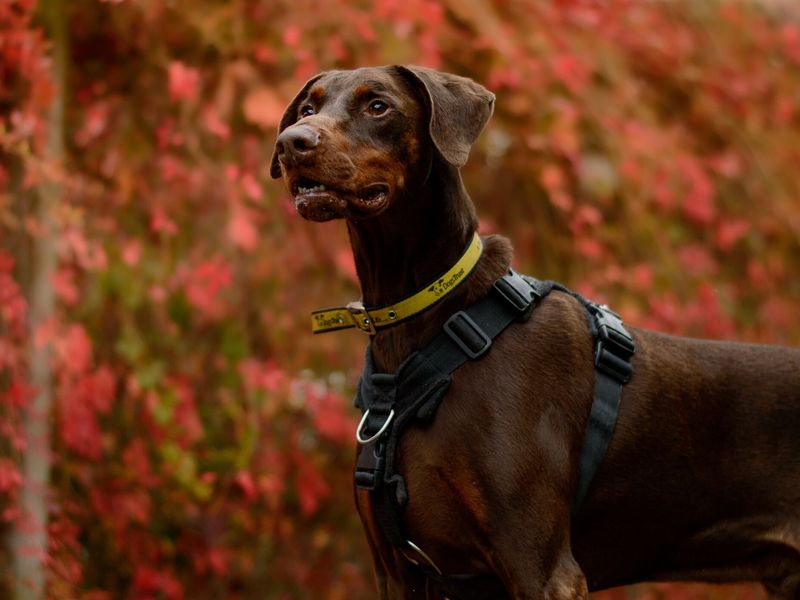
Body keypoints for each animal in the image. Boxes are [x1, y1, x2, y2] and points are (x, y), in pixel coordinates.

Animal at [270, 65, 800, 600]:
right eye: (308, 109)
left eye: (378, 105)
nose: (291, 142)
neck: (428, 324)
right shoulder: (397, 572)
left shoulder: (540, 565)